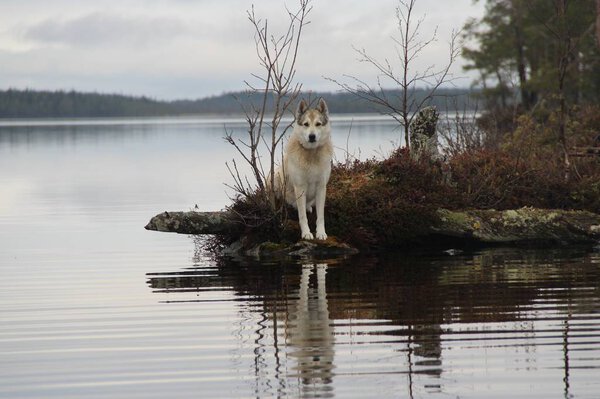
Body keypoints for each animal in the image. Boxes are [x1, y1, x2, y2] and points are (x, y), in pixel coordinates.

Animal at [274, 98, 332, 241]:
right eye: (306, 124)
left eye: (318, 124)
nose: (312, 136)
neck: (311, 153)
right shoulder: (300, 188)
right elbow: (302, 217)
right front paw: (306, 233)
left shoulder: (321, 187)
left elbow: (320, 216)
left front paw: (321, 233)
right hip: (276, 176)